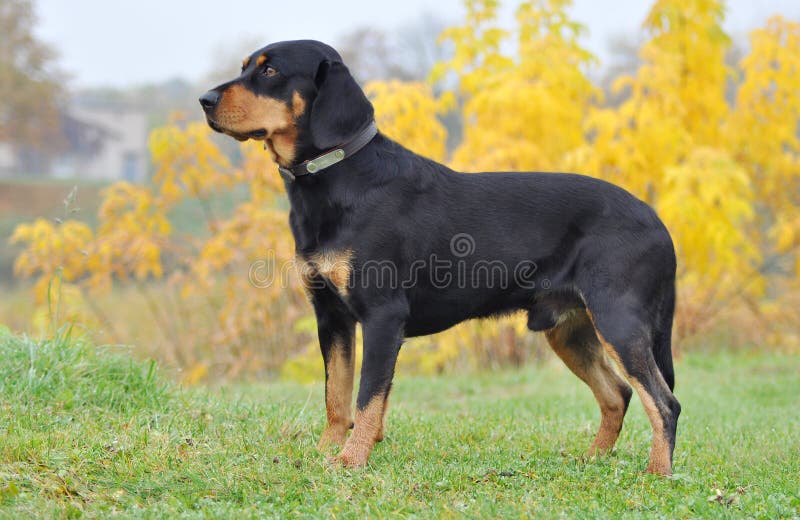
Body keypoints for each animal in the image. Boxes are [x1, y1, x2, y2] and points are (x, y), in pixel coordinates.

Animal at [200, 39, 680, 476]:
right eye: (245, 66)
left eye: (270, 71)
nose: (204, 100)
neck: (339, 179)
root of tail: (660, 223)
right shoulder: (331, 316)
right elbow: (336, 396)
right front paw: (327, 453)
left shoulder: (382, 316)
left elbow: (367, 396)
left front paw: (350, 460)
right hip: (569, 329)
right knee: (618, 394)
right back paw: (592, 460)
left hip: (617, 319)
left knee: (665, 402)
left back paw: (657, 473)